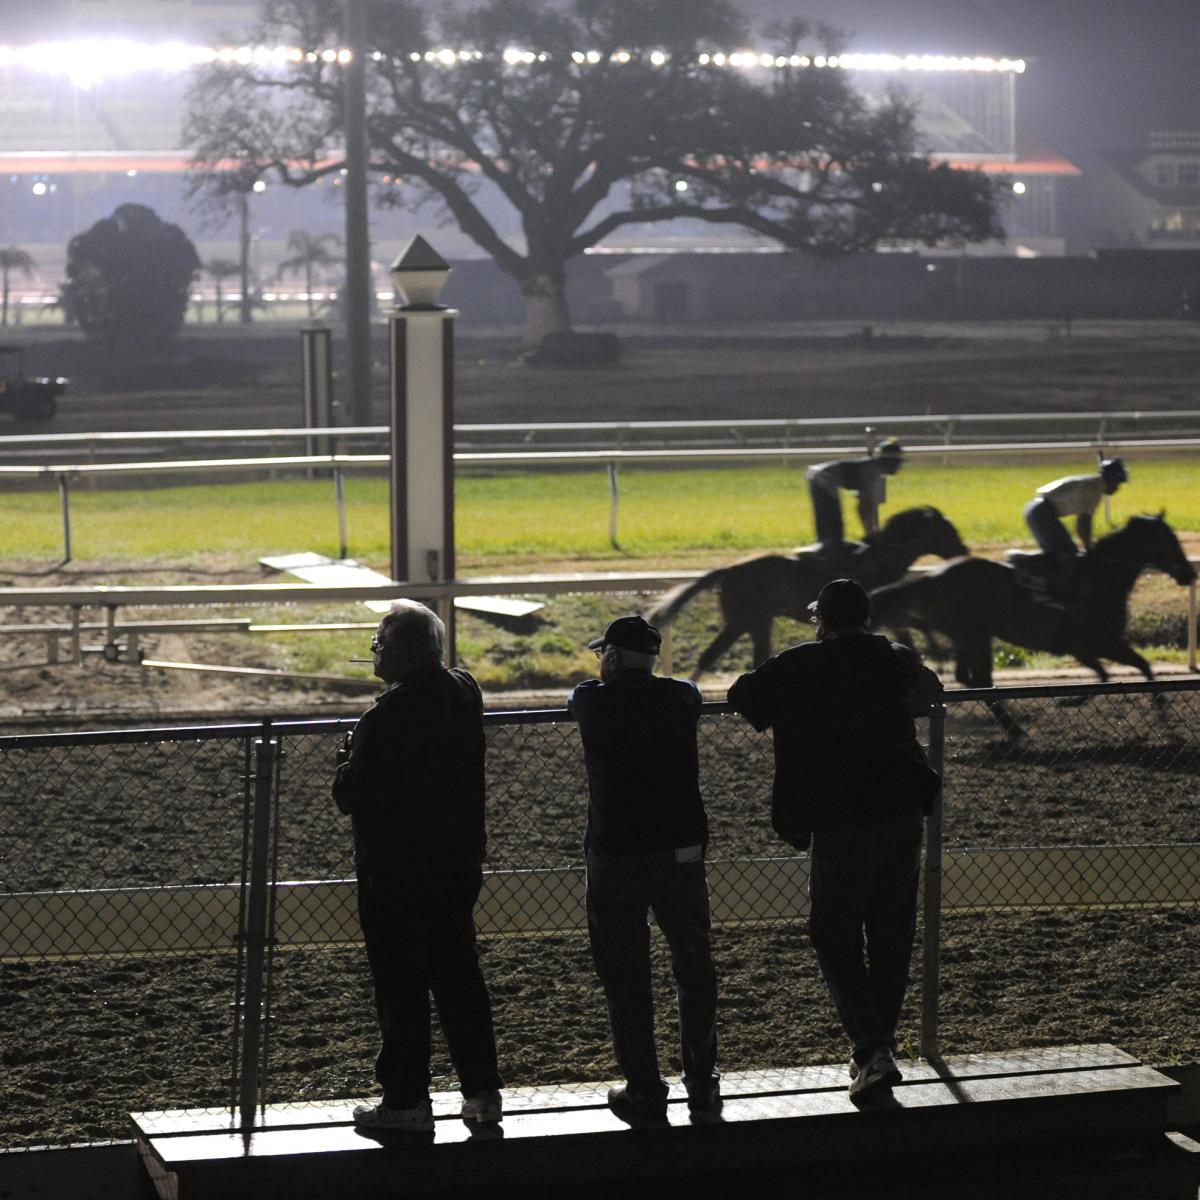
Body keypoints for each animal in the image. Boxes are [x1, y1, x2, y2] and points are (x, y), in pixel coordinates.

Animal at [648, 504, 974, 681]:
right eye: (947, 530)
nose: (965, 552)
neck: (881, 559)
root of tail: (728, 569)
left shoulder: (892, 614)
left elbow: (917, 632)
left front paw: (938, 653)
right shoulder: (887, 613)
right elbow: (918, 630)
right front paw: (939, 654)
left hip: (759, 622)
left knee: (755, 657)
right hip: (741, 620)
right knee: (710, 655)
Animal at [868, 513, 1195, 729]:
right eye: (1168, 540)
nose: (1190, 573)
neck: (1101, 580)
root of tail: (931, 578)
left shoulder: (1089, 649)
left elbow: (1111, 674)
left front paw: (1070, 700)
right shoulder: (1099, 643)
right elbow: (1139, 667)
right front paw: (1162, 709)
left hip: (966, 636)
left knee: (966, 676)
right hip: (976, 636)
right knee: (980, 678)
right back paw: (1013, 728)